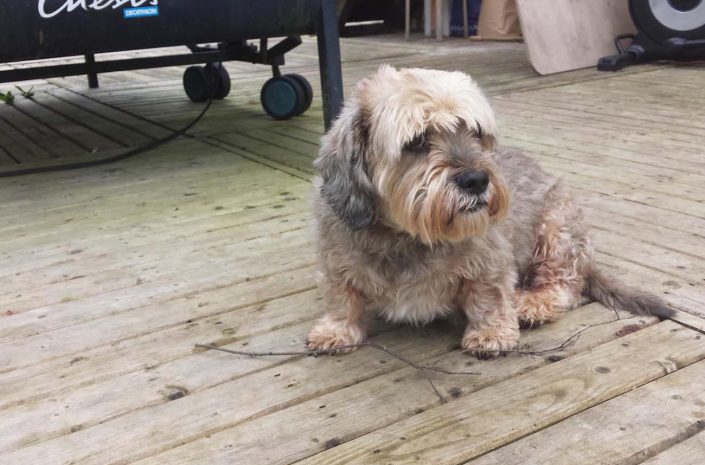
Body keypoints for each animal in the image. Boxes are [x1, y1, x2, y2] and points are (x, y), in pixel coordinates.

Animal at [306, 64, 672, 356]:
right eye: (417, 141)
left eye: (475, 131)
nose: (476, 180)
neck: (408, 237)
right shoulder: (336, 260)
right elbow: (341, 297)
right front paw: (336, 330)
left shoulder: (491, 263)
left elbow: (489, 297)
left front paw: (491, 333)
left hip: (555, 231)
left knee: (565, 285)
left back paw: (533, 303)